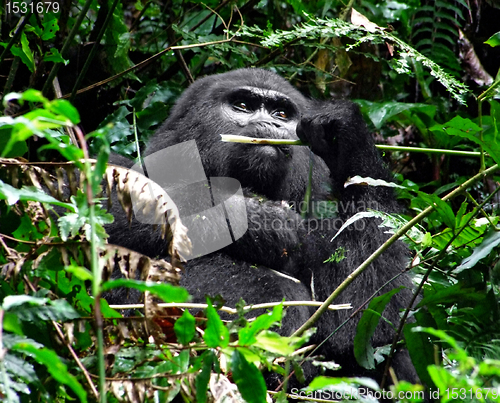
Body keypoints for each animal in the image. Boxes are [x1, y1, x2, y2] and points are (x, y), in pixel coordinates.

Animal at [106, 68, 418, 386]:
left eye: (282, 113)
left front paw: (344, 138)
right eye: (243, 106)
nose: (271, 124)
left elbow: (368, 321)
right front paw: (261, 218)